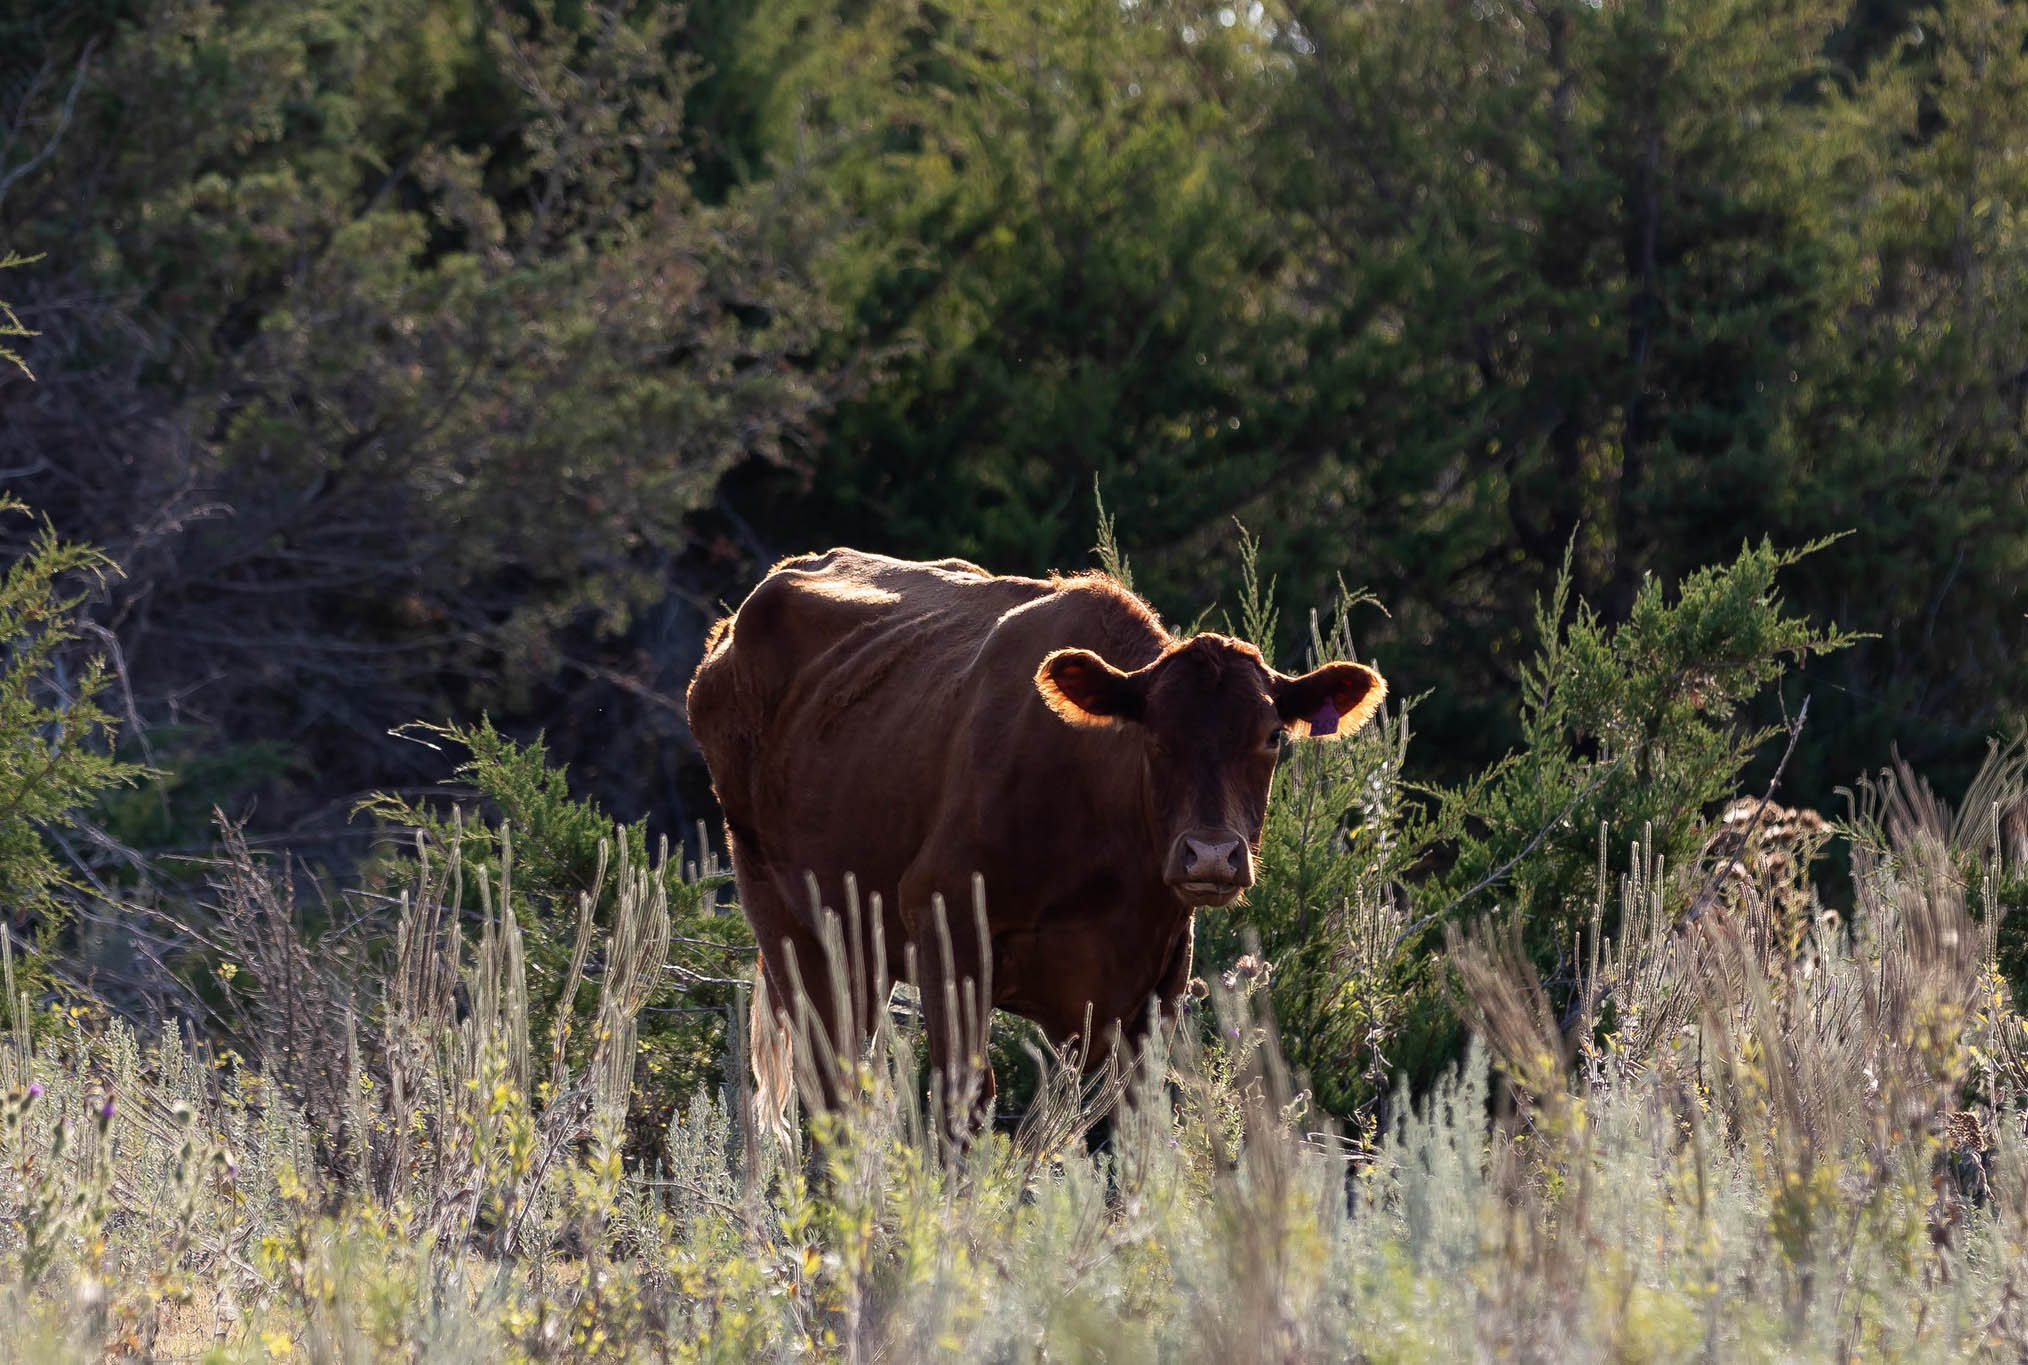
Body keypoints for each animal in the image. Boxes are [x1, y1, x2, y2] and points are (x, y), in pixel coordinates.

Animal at [689, 547, 1387, 1135]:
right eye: (1154, 734)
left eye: (1272, 735)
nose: (1211, 854)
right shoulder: (947, 931)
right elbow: (963, 1103)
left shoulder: (1155, 981)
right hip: (788, 924)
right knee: (830, 1090)